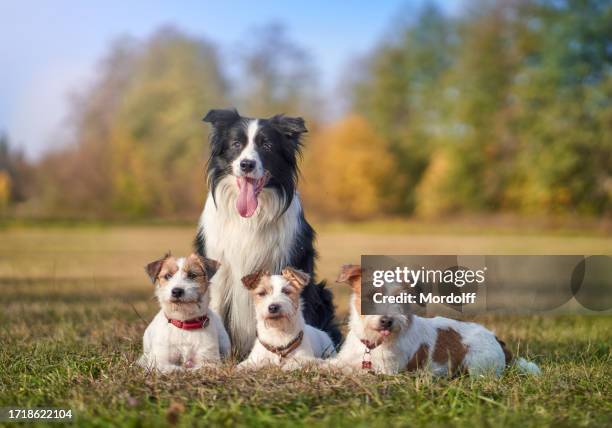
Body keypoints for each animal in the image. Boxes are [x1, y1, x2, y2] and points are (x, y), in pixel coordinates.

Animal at [330, 262, 540, 376]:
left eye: (400, 298)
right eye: (372, 295)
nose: (387, 321)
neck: (371, 343)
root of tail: (497, 340)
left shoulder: (385, 371)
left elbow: (351, 371)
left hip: (477, 366)